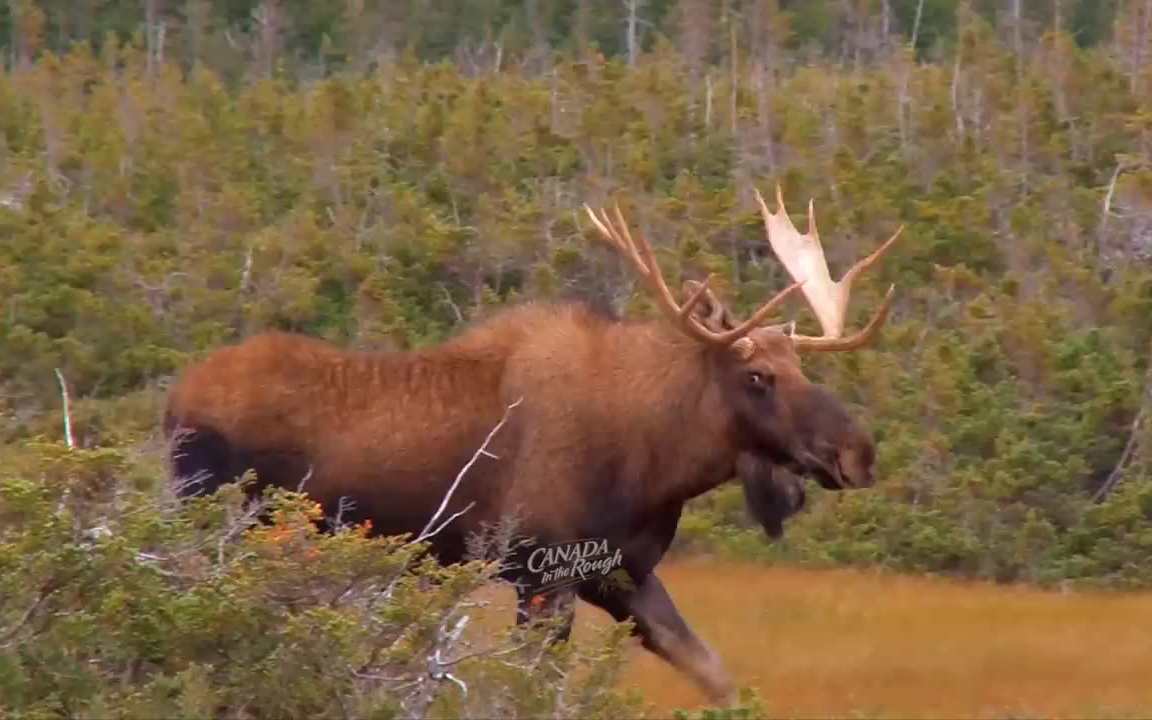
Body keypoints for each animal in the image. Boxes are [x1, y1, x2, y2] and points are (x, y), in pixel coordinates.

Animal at [164, 184, 898, 700]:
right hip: (217, 523)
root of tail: (172, 403)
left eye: (801, 366)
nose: (857, 452)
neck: (657, 461)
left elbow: (714, 675)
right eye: (758, 376)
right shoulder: (541, 571)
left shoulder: (622, 573)